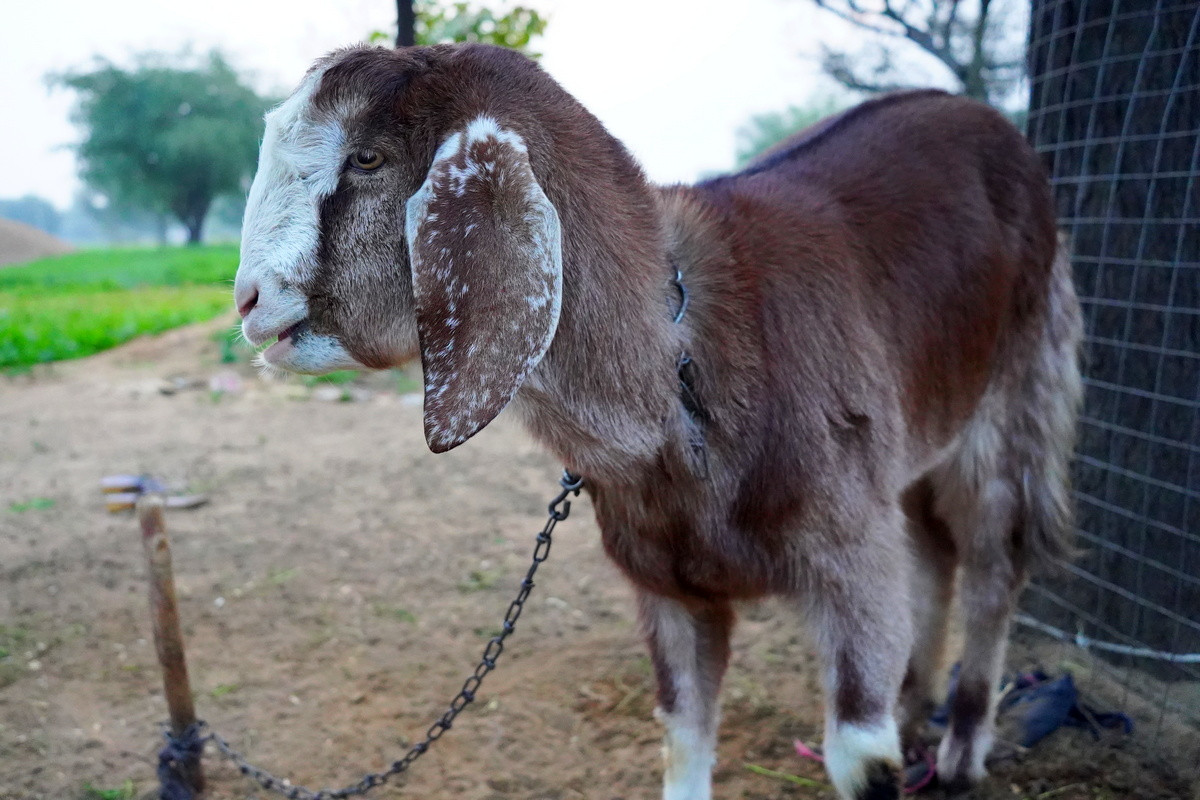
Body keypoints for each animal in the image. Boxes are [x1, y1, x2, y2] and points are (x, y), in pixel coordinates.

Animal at [236, 43, 1089, 800]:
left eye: (367, 159)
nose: (247, 301)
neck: (682, 367)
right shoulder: (669, 587)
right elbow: (682, 743)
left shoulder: (850, 559)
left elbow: (861, 765)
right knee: (934, 555)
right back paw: (918, 714)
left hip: (1015, 395)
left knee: (992, 563)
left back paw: (960, 751)